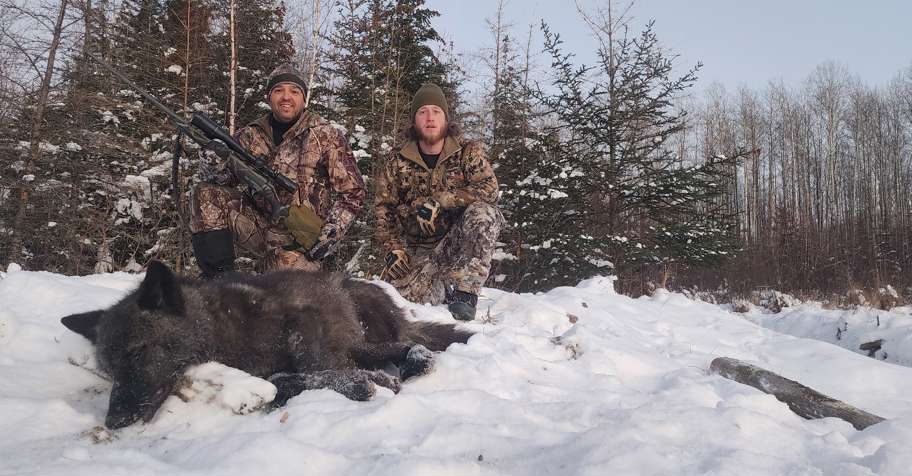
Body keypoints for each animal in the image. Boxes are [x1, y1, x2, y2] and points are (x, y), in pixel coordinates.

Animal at [60, 261, 472, 429]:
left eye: (137, 351)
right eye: (108, 370)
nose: (113, 422)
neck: (221, 330)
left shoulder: (302, 321)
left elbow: (306, 369)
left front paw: (362, 382)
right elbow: (282, 379)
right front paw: (366, 380)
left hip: (364, 314)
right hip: (360, 337)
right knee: (387, 350)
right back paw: (409, 360)